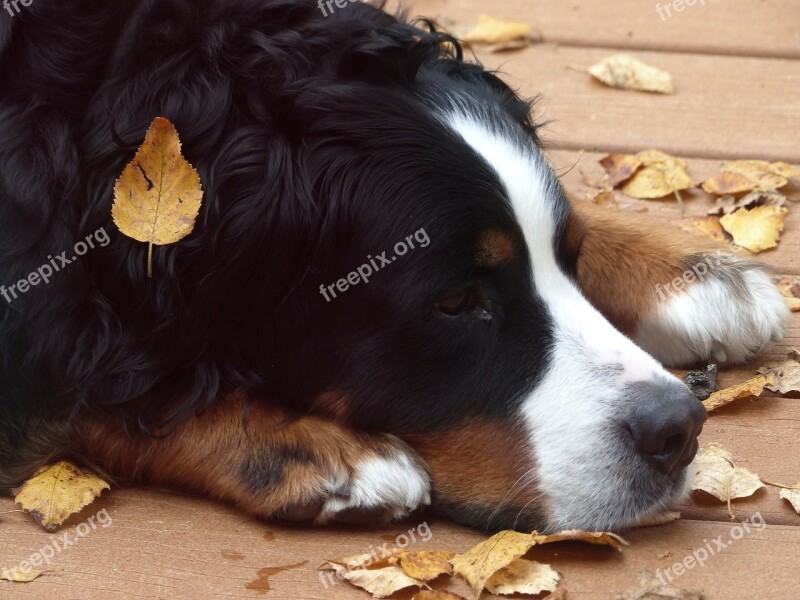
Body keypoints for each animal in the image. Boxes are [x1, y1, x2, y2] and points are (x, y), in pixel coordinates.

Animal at [0, 0, 788, 532]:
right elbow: (98, 394)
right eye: (454, 303)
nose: (677, 429)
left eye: (565, 257)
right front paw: (322, 451)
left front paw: (690, 272)